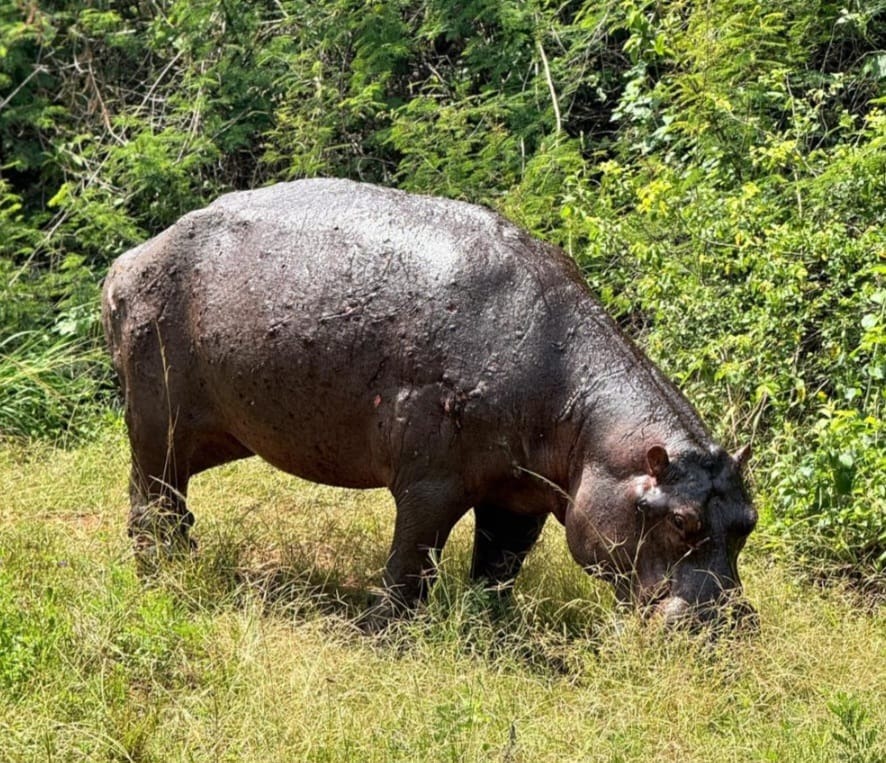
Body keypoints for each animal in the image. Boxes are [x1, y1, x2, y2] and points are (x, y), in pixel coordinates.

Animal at [102, 178, 757, 628]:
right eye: (681, 521)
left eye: (750, 520)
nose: (728, 624)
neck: (589, 420)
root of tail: (130, 259)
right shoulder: (430, 483)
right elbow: (411, 561)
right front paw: (381, 632)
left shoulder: (520, 496)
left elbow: (499, 567)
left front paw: (492, 626)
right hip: (157, 423)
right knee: (151, 502)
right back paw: (164, 577)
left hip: (212, 433)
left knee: (164, 498)